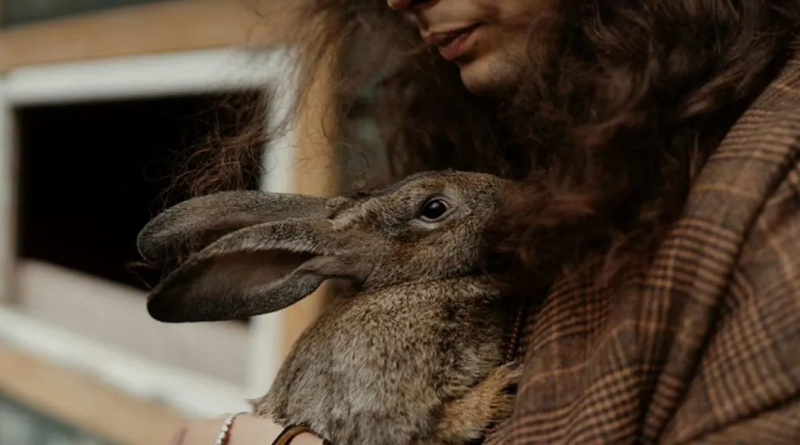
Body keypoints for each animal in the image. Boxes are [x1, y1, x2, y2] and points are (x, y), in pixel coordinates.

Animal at [138, 169, 524, 444]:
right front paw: (498, 391)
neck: (410, 286)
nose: (512, 190)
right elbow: (431, 424)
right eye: (433, 208)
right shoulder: (380, 404)